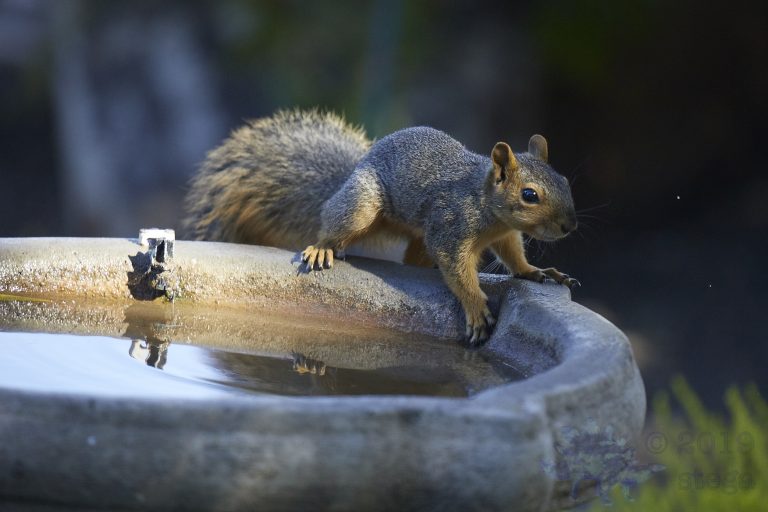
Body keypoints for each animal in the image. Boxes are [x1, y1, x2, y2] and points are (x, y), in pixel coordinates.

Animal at [183, 109, 578, 344]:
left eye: (564, 180)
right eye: (530, 195)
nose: (569, 226)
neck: (487, 206)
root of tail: (353, 172)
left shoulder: (506, 234)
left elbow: (514, 257)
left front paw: (536, 272)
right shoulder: (450, 227)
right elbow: (458, 271)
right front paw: (476, 307)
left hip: (415, 234)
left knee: (414, 259)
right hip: (361, 206)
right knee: (332, 222)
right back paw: (322, 247)